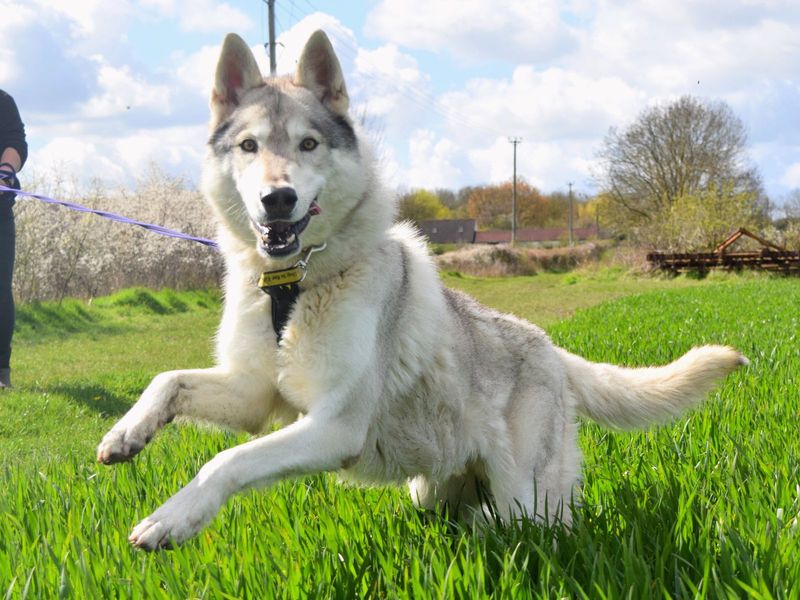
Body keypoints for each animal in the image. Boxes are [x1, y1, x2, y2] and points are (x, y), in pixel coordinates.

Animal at [97, 30, 748, 552]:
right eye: (249, 147)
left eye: (308, 144)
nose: (277, 199)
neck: (294, 287)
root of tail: (552, 349)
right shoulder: (258, 396)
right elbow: (169, 380)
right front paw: (125, 434)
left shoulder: (333, 426)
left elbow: (226, 460)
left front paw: (170, 520)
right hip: (430, 491)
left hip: (528, 501)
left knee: (527, 527)